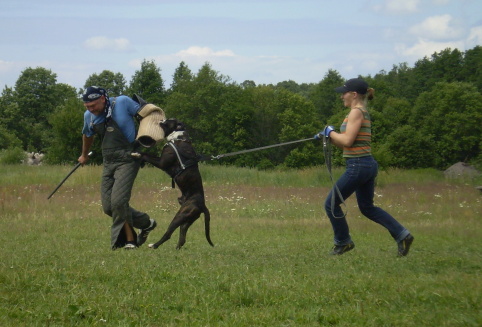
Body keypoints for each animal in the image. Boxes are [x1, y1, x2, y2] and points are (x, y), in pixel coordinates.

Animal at [133, 119, 214, 250]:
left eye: (169, 121)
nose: (161, 120)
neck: (177, 137)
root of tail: (203, 205)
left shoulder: (161, 162)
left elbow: (146, 155)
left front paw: (137, 154)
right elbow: (148, 155)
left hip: (180, 216)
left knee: (168, 234)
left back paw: (154, 245)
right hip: (186, 220)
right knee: (182, 237)